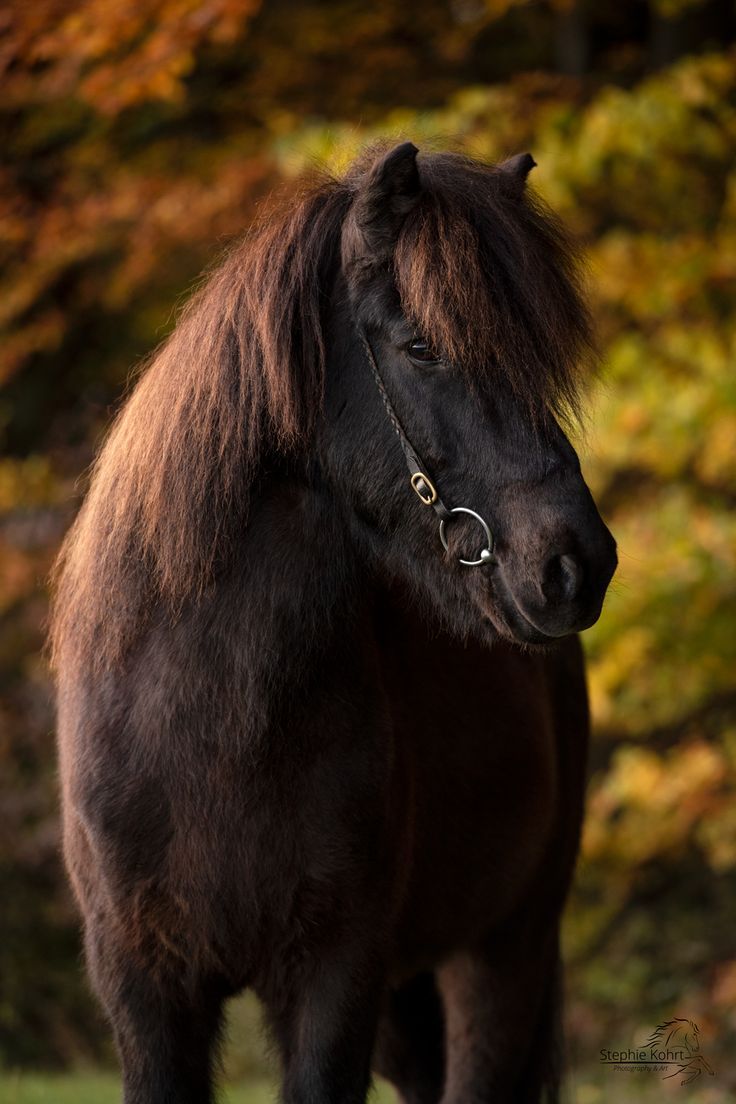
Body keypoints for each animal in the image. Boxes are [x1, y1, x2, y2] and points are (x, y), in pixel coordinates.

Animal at [48, 140, 617, 1104]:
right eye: (421, 345)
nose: (577, 566)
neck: (212, 728)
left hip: (502, 955)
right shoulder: (146, 990)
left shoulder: (336, 979)